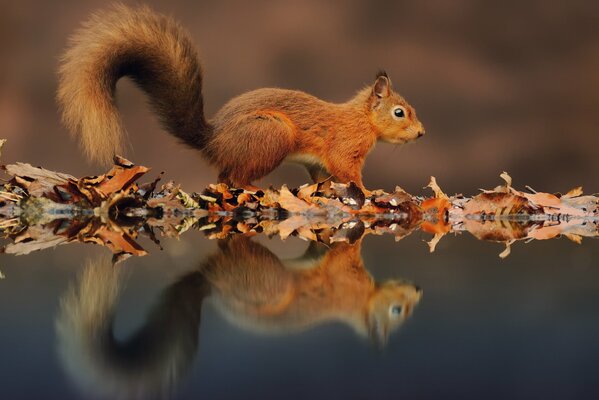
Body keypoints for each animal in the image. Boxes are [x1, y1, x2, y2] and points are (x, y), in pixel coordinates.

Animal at [55, 3, 422, 190]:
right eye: (400, 112)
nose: (421, 133)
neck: (362, 119)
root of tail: (214, 141)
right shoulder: (345, 146)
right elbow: (348, 172)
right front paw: (369, 192)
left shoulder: (320, 163)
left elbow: (324, 178)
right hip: (271, 135)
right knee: (236, 178)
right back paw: (253, 191)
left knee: (224, 178)